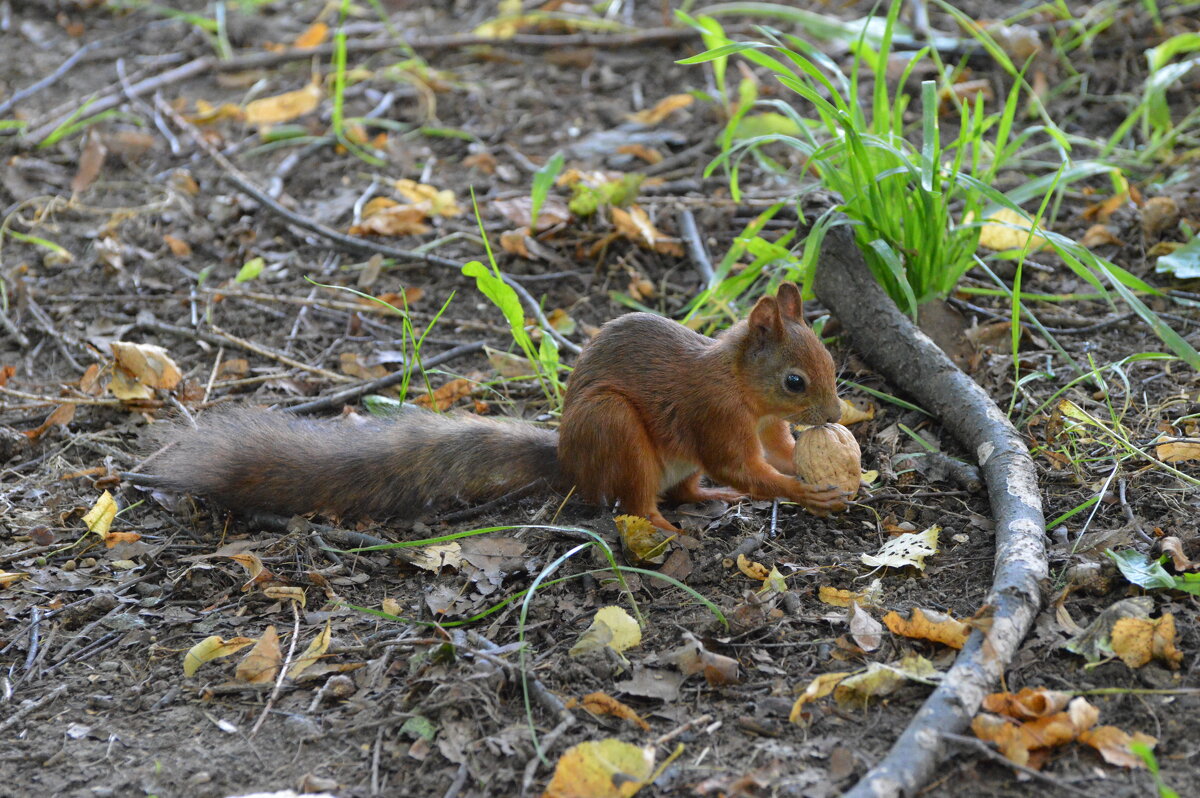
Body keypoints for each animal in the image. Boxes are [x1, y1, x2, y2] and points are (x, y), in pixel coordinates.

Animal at [152, 283, 844, 532]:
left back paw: (705, 502)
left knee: (688, 489)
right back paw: (661, 526)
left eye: (831, 365)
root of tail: (571, 464)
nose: (837, 416)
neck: (740, 385)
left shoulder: (764, 425)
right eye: (794, 381)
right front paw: (808, 491)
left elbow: (773, 455)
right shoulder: (714, 415)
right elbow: (743, 467)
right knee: (638, 502)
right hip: (613, 428)